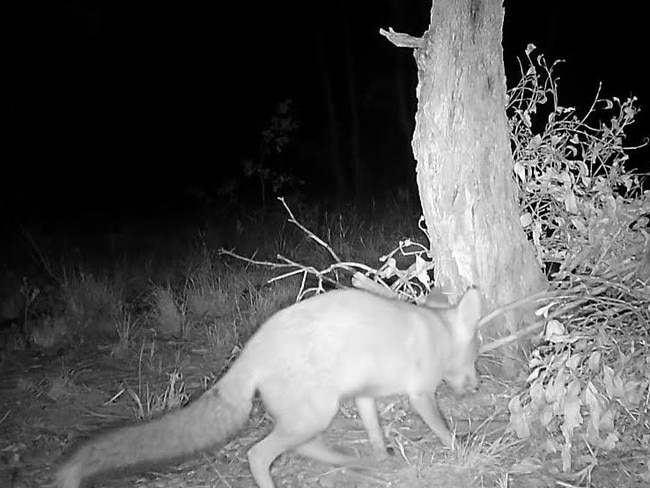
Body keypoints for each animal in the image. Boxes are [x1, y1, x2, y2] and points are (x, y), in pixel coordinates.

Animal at [54, 286, 480, 488]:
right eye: (476, 355)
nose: (475, 388)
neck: (436, 333)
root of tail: (250, 352)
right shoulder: (420, 393)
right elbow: (441, 428)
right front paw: (460, 447)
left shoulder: (363, 394)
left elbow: (374, 430)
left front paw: (383, 455)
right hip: (315, 414)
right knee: (259, 453)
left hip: (311, 415)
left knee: (303, 447)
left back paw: (350, 461)